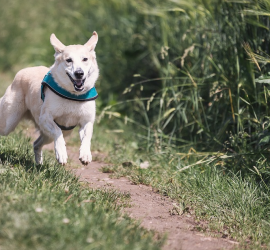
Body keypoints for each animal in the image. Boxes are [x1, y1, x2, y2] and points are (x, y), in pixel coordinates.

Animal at [0, 31, 99, 165]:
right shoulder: (45, 118)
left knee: (36, 144)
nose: (79, 73)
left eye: (85, 59)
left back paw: (39, 164)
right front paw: (61, 153)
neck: (73, 95)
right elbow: (57, 131)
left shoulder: (86, 121)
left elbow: (87, 136)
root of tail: (23, 71)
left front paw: (85, 154)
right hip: (8, 123)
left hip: (51, 134)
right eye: (69, 60)